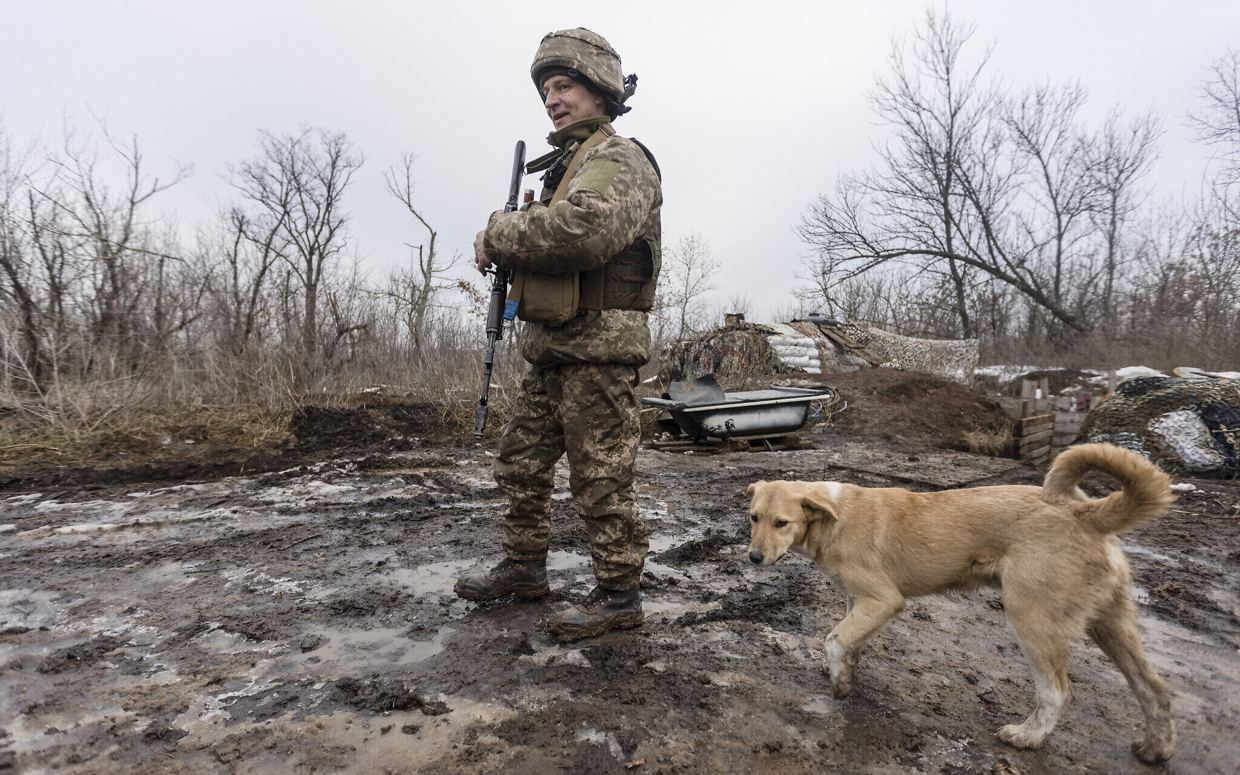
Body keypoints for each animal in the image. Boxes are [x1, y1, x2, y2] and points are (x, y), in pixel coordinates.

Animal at [744, 441, 1170, 763]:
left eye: (781, 523)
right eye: (753, 517)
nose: (753, 557)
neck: (833, 517)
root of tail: (1085, 512)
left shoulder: (883, 599)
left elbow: (834, 639)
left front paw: (839, 685)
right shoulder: (859, 602)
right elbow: (849, 642)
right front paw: (845, 672)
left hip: (1033, 619)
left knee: (1057, 692)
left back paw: (1026, 736)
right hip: (1112, 625)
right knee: (1154, 689)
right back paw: (1156, 749)